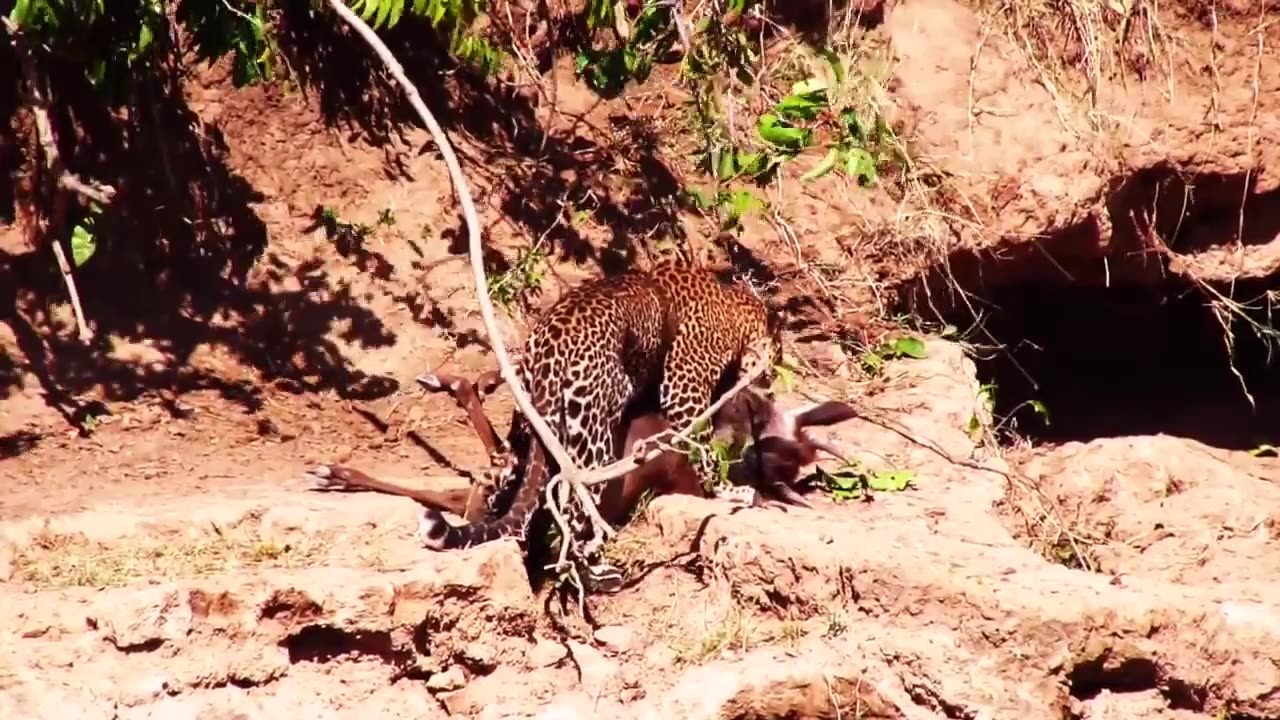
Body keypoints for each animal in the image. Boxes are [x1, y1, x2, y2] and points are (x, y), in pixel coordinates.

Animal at [414, 257, 783, 561]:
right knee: (573, 508)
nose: (770, 385)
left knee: (512, 478)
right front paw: (728, 490)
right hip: (594, 437)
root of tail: (550, 346)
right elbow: (701, 449)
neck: (737, 308)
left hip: (531, 424)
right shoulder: (684, 386)